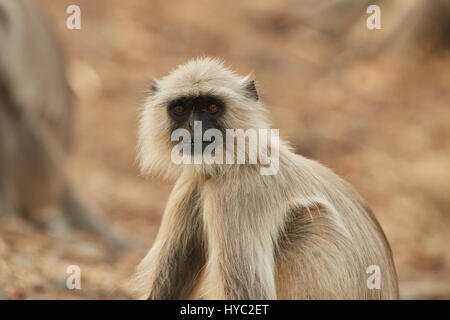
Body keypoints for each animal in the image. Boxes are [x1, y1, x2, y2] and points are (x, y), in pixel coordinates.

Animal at [135, 57, 400, 300]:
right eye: (180, 109)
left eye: (211, 107)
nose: (194, 128)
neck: (238, 158)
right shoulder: (194, 180)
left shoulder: (237, 192)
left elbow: (249, 295)